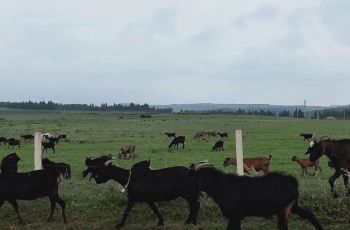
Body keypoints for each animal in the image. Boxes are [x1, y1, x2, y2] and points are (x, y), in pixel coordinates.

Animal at [190, 162, 324, 230]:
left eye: (194, 177)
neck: (222, 186)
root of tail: (293, 182)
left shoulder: (234, 216)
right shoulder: (237, 217)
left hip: (283, 209)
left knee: (283, 226)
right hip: (293, 206)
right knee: (309, 215)